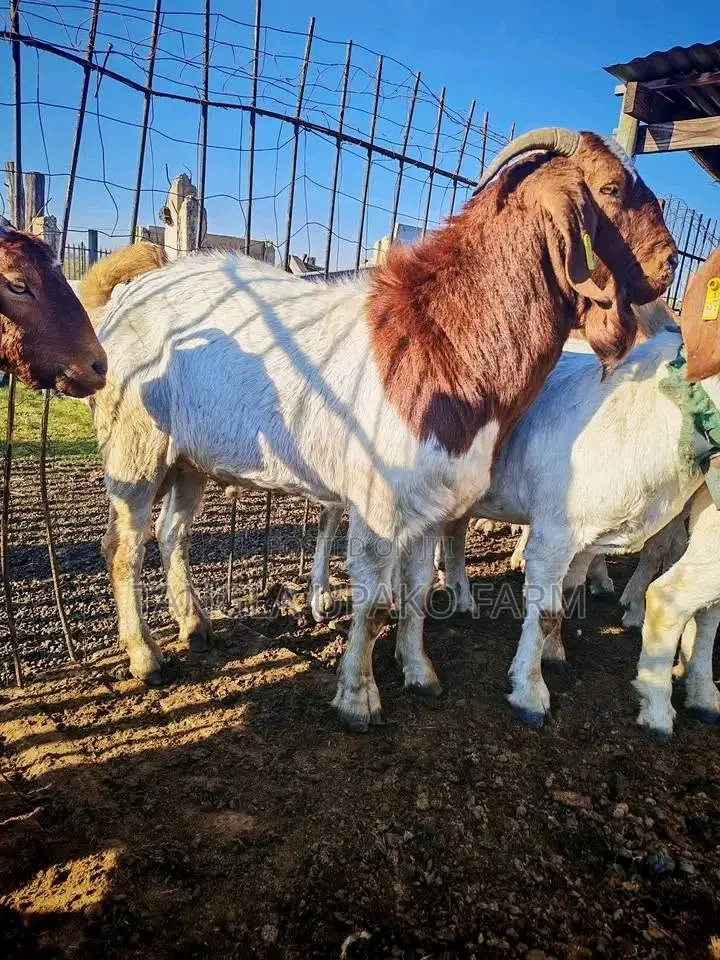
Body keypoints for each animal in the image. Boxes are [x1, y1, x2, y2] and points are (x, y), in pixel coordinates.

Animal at [85, 128, 676, 730]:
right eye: (611, 187)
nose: (669, 262)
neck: (445, 336)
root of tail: (124, 297)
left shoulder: (431, 501)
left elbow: (415, 592)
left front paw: (419, 673)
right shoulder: (378, 500)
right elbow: (370, 602)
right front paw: (358, 698)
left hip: (189, 459)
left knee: (172, 533)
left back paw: (196, 627)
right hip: (134, 446)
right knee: (122, 546)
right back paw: (146, 658)